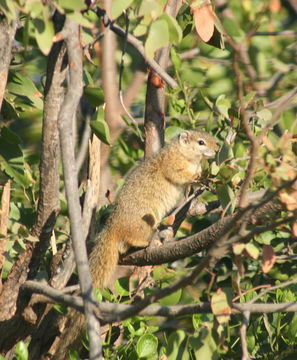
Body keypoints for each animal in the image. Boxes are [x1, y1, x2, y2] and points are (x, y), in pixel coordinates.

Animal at [53, 129, 217, 358]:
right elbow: (179, 175)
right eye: (201, 142)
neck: (184, 155)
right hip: (144, 222)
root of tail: (112, 228)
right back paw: (150, 241)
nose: (217, 148)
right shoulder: (172, 165)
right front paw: (198, 177)